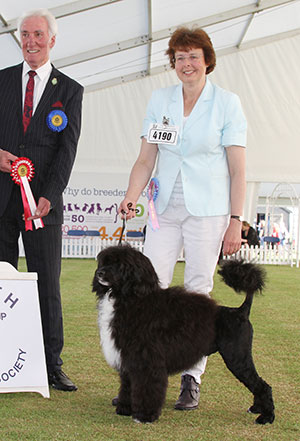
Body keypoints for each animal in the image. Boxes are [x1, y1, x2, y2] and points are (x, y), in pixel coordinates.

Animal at [92, 244, 276, 422]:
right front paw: (125, 409)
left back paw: (266, 416)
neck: (131, 299)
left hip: (237, 357)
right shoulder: (130, 358)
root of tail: (241, 311)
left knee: (262, 385)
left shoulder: (148, 361)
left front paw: (145, 416)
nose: (99, 273)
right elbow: (128, 385)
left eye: (119, 265)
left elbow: (146, 388)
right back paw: (257, 408)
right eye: (104, 262)